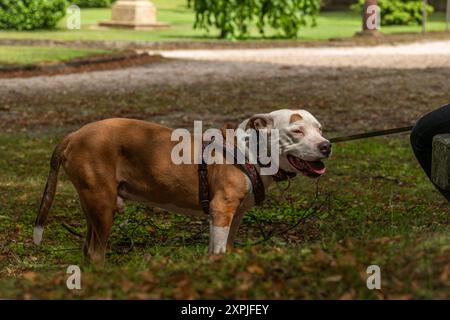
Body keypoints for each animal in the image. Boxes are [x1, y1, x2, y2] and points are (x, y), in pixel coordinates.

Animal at [33, 109, 330, 264]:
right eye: (296, 131)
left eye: (319, 128)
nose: (326, 145)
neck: (249, 151)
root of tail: (73, 135)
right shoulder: (221, 210)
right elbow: (218, 249)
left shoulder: (233, 216)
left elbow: (223, 248)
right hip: (102, 206)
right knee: (96, 252)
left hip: (93, 206)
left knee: (87, 249)